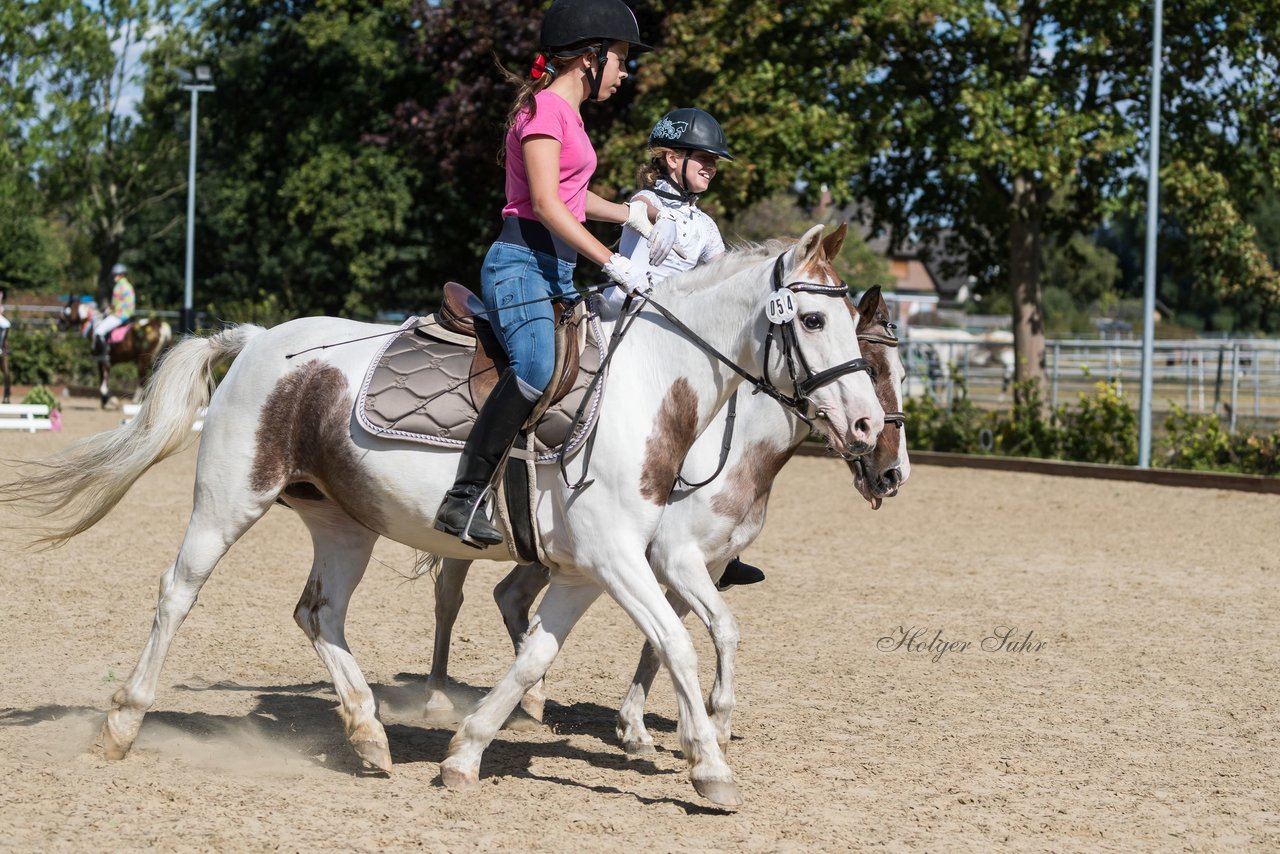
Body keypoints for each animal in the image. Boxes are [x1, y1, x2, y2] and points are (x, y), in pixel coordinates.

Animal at [422, 284, 911, 752]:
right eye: (872, 370)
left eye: (902, 374)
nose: (893, 473)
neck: (733, 448)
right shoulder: (675, 559)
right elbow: (697, 633)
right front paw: (698, 724)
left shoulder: (703, 566)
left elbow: (658, 644)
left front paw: (638, 726)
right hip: (468, 543)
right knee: (449, 601)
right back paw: (438, 699)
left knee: (510, 597)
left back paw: (530, 698)